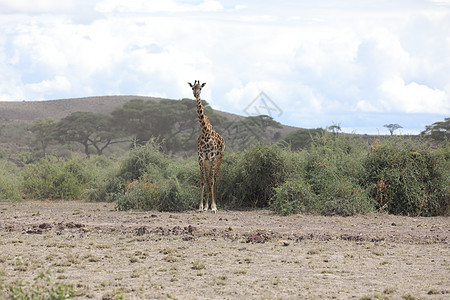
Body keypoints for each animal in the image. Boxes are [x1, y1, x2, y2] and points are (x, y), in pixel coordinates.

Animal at [189, 79, 227, 211]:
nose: (196, 94)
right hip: (207, 162)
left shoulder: (212, 157)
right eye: (192, 88)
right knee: (208, 177)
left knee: (214, 177)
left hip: (219, 158)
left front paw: (214, 207)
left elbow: (211, 180)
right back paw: (207, 205)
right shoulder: (201, 157)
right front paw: (202, 206)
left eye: (200, 88)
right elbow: (202, 180)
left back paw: (213, 204)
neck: (205, 133)